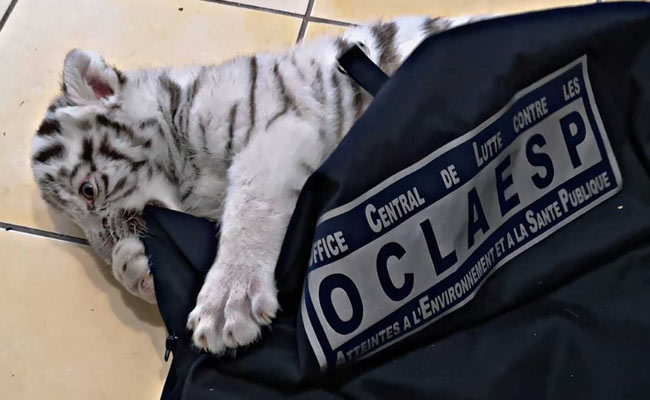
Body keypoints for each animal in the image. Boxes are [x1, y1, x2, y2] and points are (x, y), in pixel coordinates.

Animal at [30, 15, 483, 354]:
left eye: (88, 190)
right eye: (80, 229)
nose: (106, 251)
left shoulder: (277, 130)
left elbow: (251, 208)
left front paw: (229, 302)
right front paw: (135, 266)